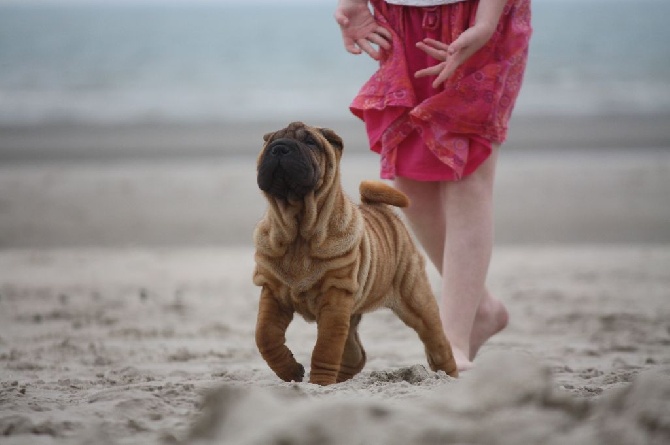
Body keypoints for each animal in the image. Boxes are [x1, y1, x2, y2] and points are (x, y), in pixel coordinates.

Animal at [255, 119, 460, 384]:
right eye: (270, 142)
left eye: (310, 142)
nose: (280, 148)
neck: (298, 230)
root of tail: (382, 210)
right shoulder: (273, 291)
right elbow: (265, 336)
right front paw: (291, 372)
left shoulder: (335, 296)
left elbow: (325, 348)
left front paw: (319, 384)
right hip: (353, 312)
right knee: (356, 354)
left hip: (416, 299)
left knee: (437, 342)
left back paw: (449, 377)